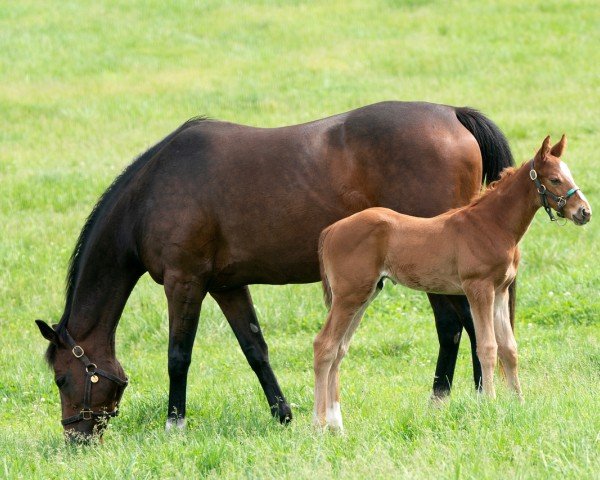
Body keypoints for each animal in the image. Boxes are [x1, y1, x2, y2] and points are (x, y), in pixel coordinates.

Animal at [314, 136, 592, 432]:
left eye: (568, 174)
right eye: (554, 179)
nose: (584, 212)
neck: (491, 224)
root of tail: (330, 231)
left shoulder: (500, 292)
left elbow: (509, 349)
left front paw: (519, 403)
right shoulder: (478, 288)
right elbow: (487, 347)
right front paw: (490, 405)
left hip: (365, 295)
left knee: (339, 349)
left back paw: (337, 427)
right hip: (348, 296)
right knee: (324, 345)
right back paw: (318, 426)